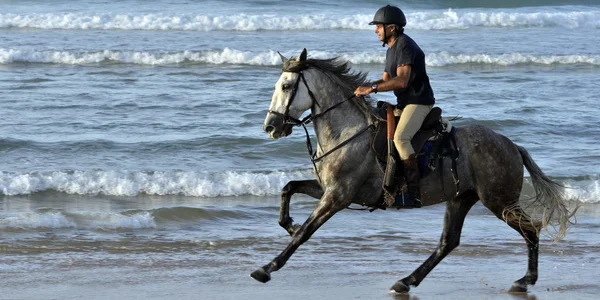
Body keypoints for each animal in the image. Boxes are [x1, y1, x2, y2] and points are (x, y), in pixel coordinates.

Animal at [251, 48, 576, 292]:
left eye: (287, 86)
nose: (270, 127)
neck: (348, 132)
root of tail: (511, 145)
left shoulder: (338, 195)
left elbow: (305, 232)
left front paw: (267, 268)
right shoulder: (330, 189)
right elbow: (289, 188)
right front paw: (288, 223)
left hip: (499, 201)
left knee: (530, 229)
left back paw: (525, 280)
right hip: (462, 198)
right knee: (448, 242)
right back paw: (407, 281)